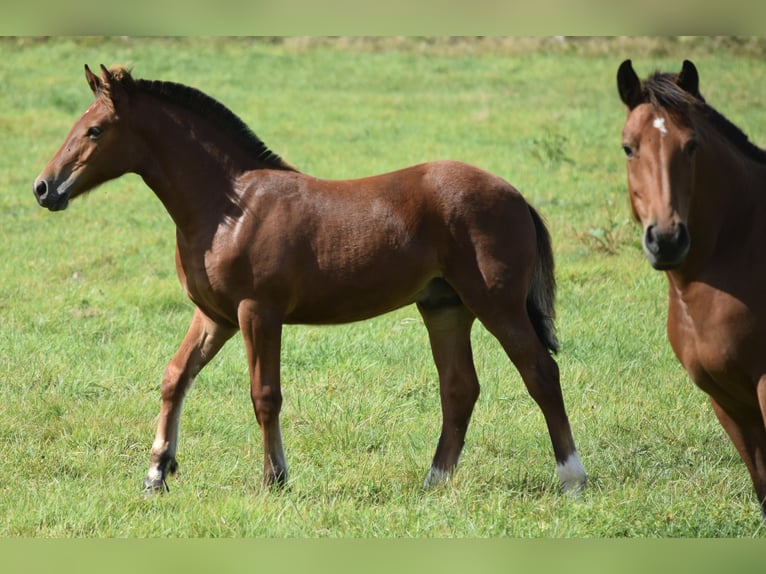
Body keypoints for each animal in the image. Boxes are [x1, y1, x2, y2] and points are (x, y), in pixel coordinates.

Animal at [33, 64, 587, 495]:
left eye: (95, 130)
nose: (43, 188)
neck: (229, 207)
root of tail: (515, 195)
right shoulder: (214, 316)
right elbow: (175, 377)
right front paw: (155, 474)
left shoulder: (258, 312)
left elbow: (264, 394)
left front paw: (273, 479)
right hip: (444, 307)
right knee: (459, 388)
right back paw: (433, 481)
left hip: (496, 304)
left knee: (540, 373)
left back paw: (572, 478)